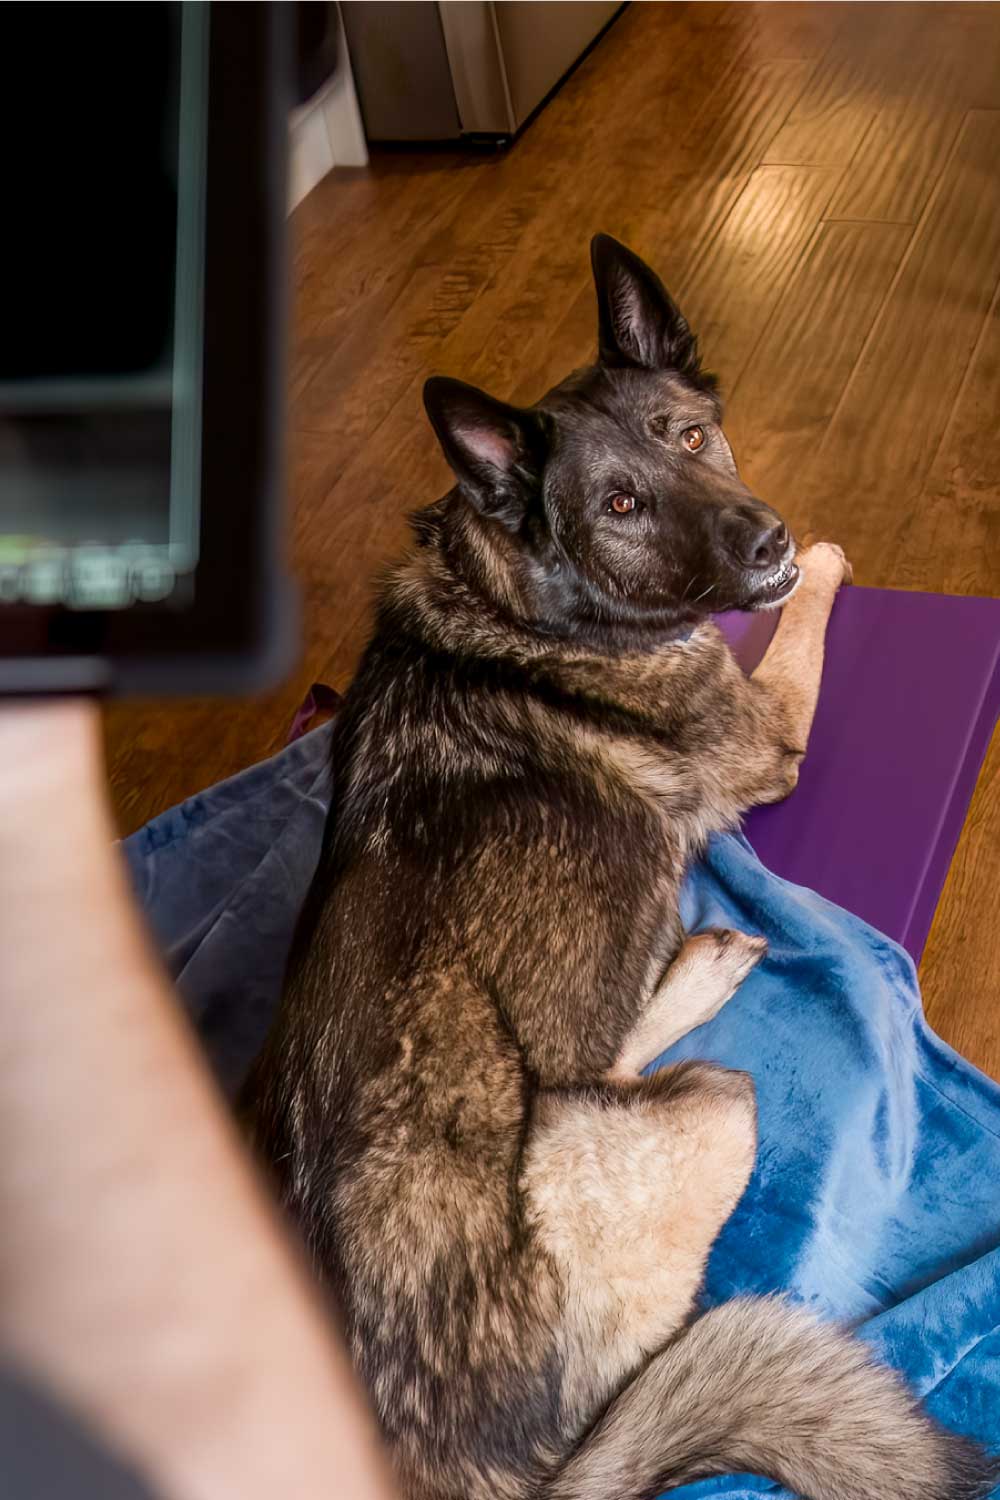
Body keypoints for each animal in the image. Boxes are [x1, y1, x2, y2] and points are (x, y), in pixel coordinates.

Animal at [245, 237, 995, 1500]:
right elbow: (797, 628)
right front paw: (823, 566)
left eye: (687, 436)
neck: (512, 591)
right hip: (706, 1105)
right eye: (621, 505)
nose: (768, 540)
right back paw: (699, 968)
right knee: (628, 1065)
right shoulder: (765, 724)